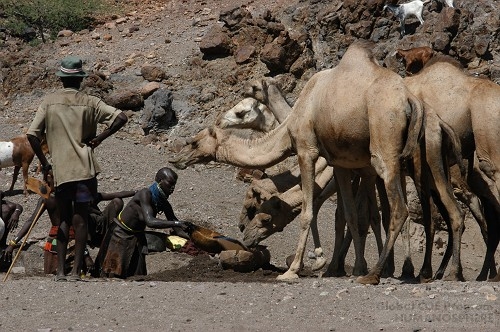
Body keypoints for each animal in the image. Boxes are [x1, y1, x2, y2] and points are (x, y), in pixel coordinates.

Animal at [170, 39, 424, 282]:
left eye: (194, 142)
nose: (176, 159)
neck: (291, 122)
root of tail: (410, 100)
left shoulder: (307, 152)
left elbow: (309, 212)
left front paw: (296, 269)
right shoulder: (341, 164)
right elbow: (350, 215)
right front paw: (352, 266)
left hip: (384, 147)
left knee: (399, 209)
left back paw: (380, 273)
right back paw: (396, 270)